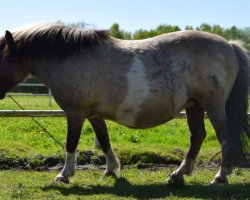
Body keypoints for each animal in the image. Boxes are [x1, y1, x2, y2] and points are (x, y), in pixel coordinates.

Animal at [0, 23, 249, 184]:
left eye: (1, 57)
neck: (67, 56)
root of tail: (229, 44)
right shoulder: (93, 115)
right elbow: (104, 140)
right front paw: (111, 170)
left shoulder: (75, 113)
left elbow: (71, 143)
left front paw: (64, 175)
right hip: (194, 106)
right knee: (197, 136)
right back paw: (179, 174)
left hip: (214, 106)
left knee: (225, 137)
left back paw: (221, 176)